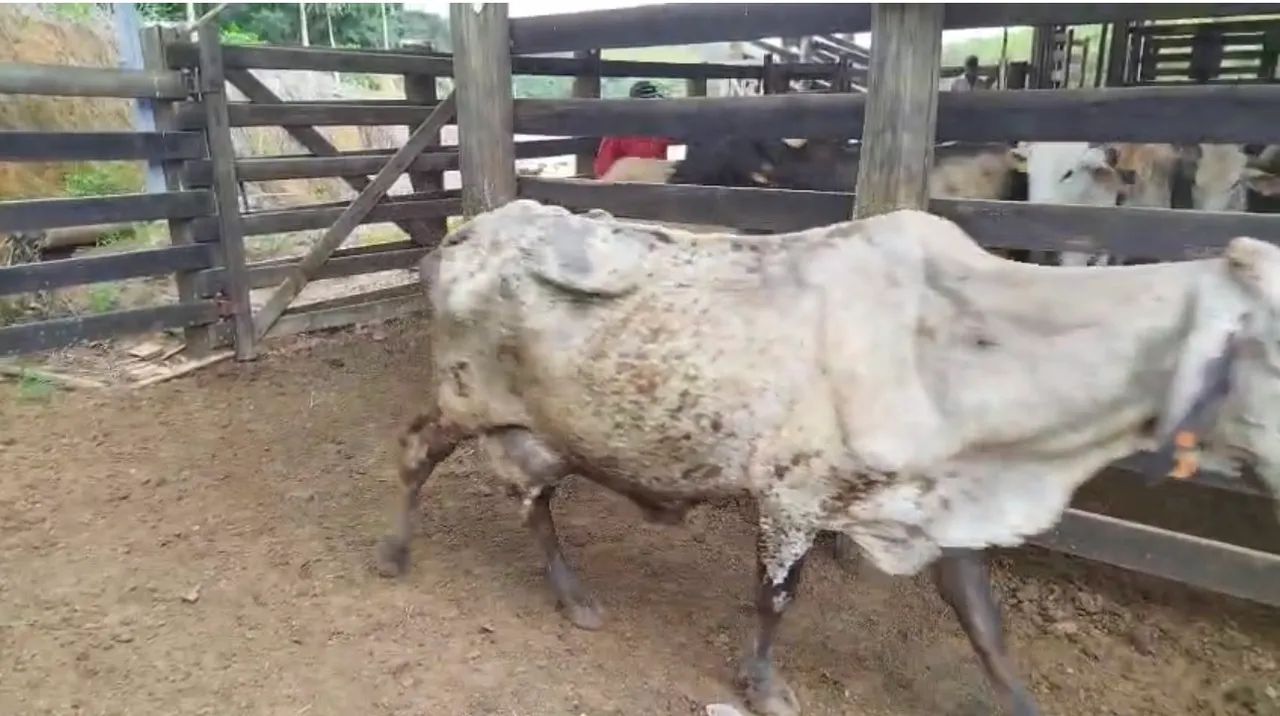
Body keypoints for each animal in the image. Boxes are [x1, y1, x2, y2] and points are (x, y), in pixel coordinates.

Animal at [375, 199, 1280, 716]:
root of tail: (465, 231)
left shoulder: (936, 504)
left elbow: (985, 627)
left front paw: (1020, 701)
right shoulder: (791, 493)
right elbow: (776, 598)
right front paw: (764, 687)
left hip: (542, 431)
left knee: (533, 499)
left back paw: (572, 596)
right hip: (465, 400)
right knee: (417, 452)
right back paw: (395, 553)